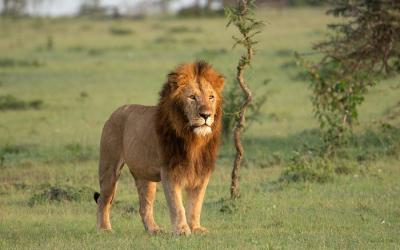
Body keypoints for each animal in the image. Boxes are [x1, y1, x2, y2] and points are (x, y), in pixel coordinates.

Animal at [94, 60, 225, 234]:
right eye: (192, 97)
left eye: (211, 97)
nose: (206, 115)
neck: (194, 139)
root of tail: (116, 111)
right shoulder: (170, 170)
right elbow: (177, 205)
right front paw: (182, 230)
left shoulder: (202, 172)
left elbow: (196, 204)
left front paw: (196, 228)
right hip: (109, 168)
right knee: (104, 199)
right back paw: (104, 228)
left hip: (145, 175)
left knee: (144, 207)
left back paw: (154, 230)